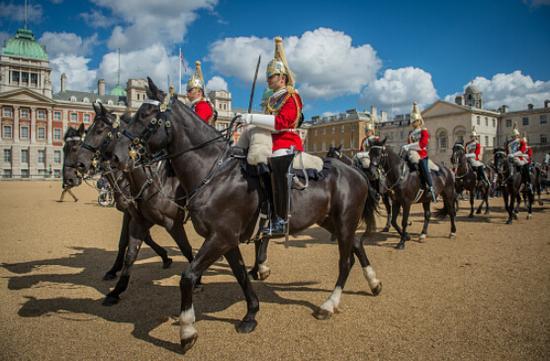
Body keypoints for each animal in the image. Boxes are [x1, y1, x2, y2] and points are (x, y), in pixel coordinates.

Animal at [74, 102, 197, 298]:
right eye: (88, 129)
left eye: (100, 130)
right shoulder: (134, 216)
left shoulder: (171, 222)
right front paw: (116, 279)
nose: (79, 164)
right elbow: (128, 246)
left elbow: (185, 247)